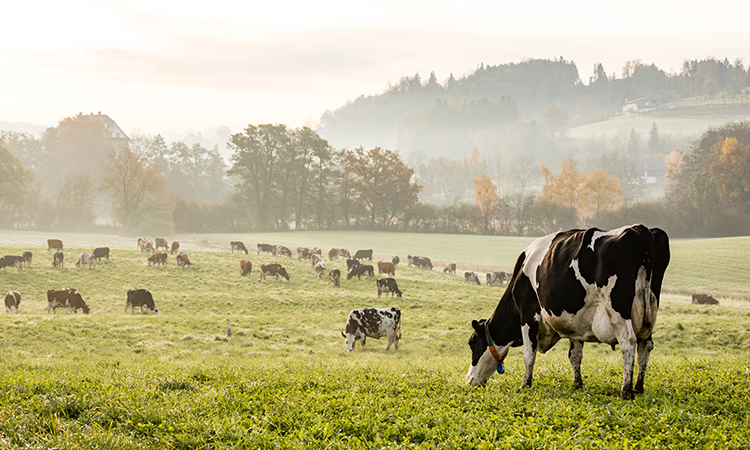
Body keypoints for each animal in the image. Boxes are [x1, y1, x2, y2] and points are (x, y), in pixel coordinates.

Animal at [468, 225, 672, 400]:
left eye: (472, 343)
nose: (469, 380)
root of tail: (639, 228)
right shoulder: (575, 323)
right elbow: (575, 355)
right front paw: (577, 384)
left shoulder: (527, 314)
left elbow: (528, 354)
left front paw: (525, 385)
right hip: (649, 312)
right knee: (645, 346)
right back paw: (638, 387)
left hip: (618, 310)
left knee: (628, 341)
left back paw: (626, 391)